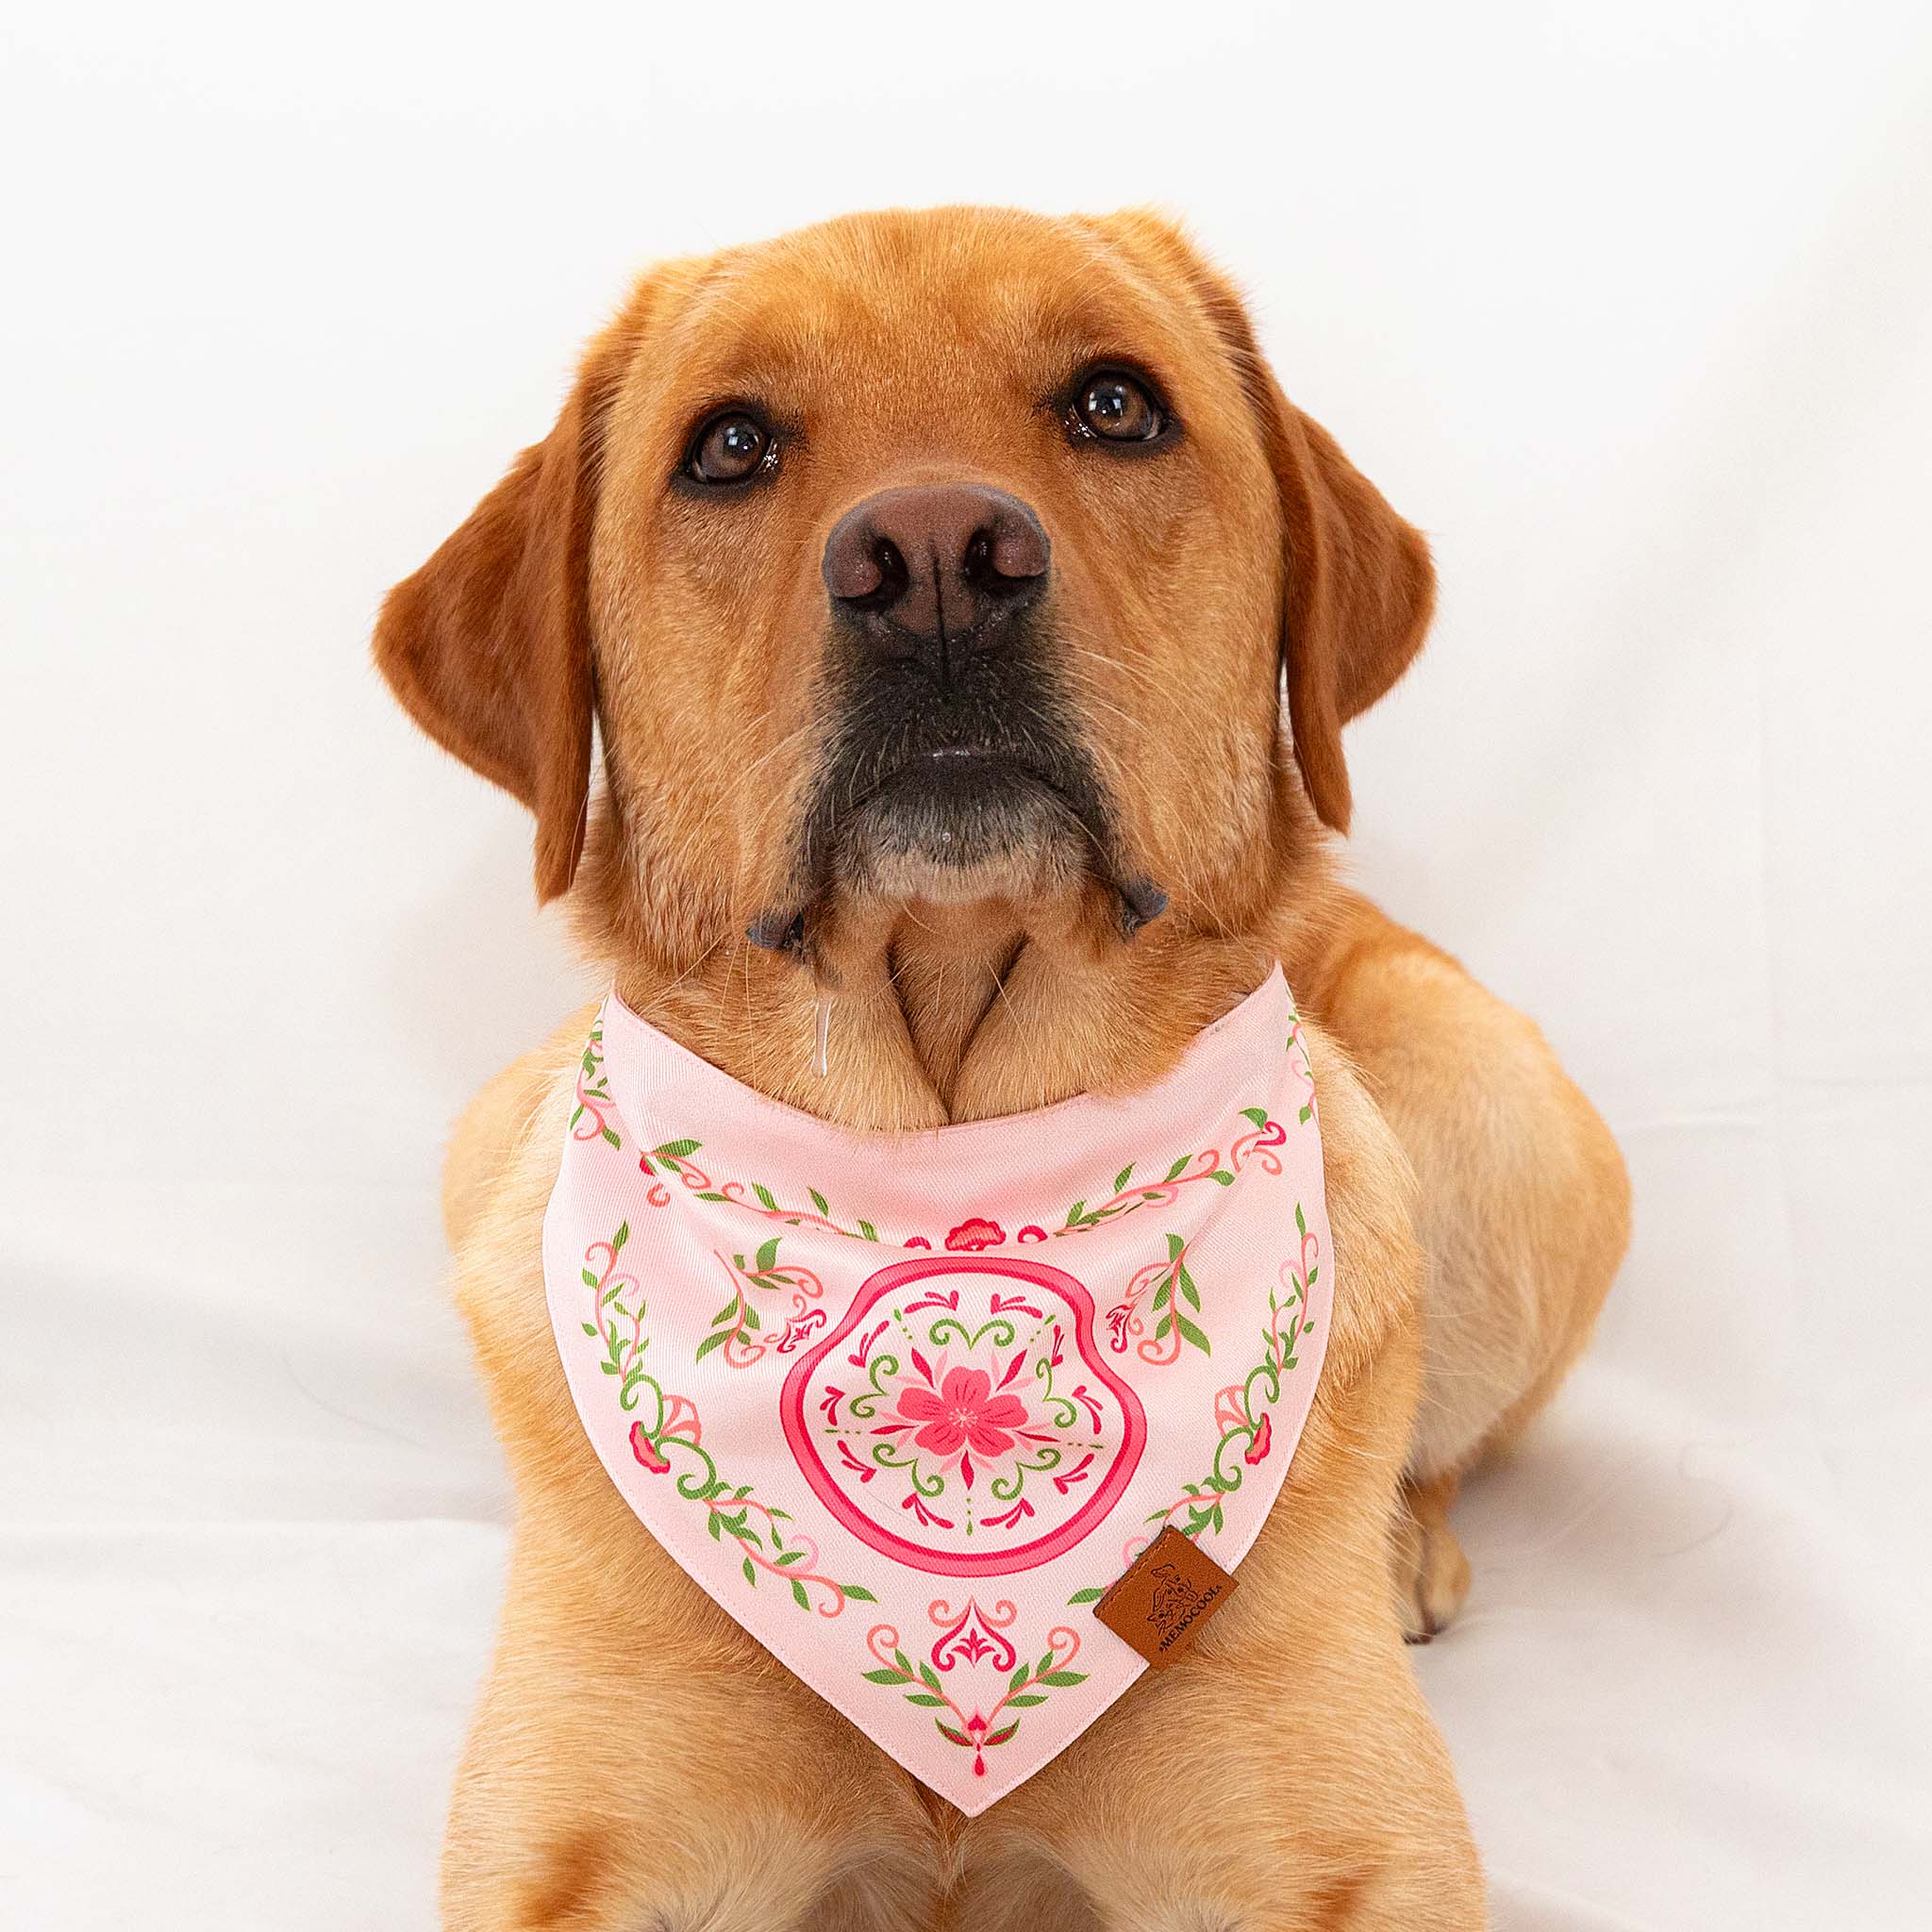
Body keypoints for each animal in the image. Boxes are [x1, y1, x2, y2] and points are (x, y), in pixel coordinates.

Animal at [376, 204, 1630, 1924]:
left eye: (1114, 404)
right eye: (729, 445)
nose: (933, 564)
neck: (946, 1164)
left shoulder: (1354, 1854)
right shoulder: (577, 1838)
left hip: (1496, 1109)